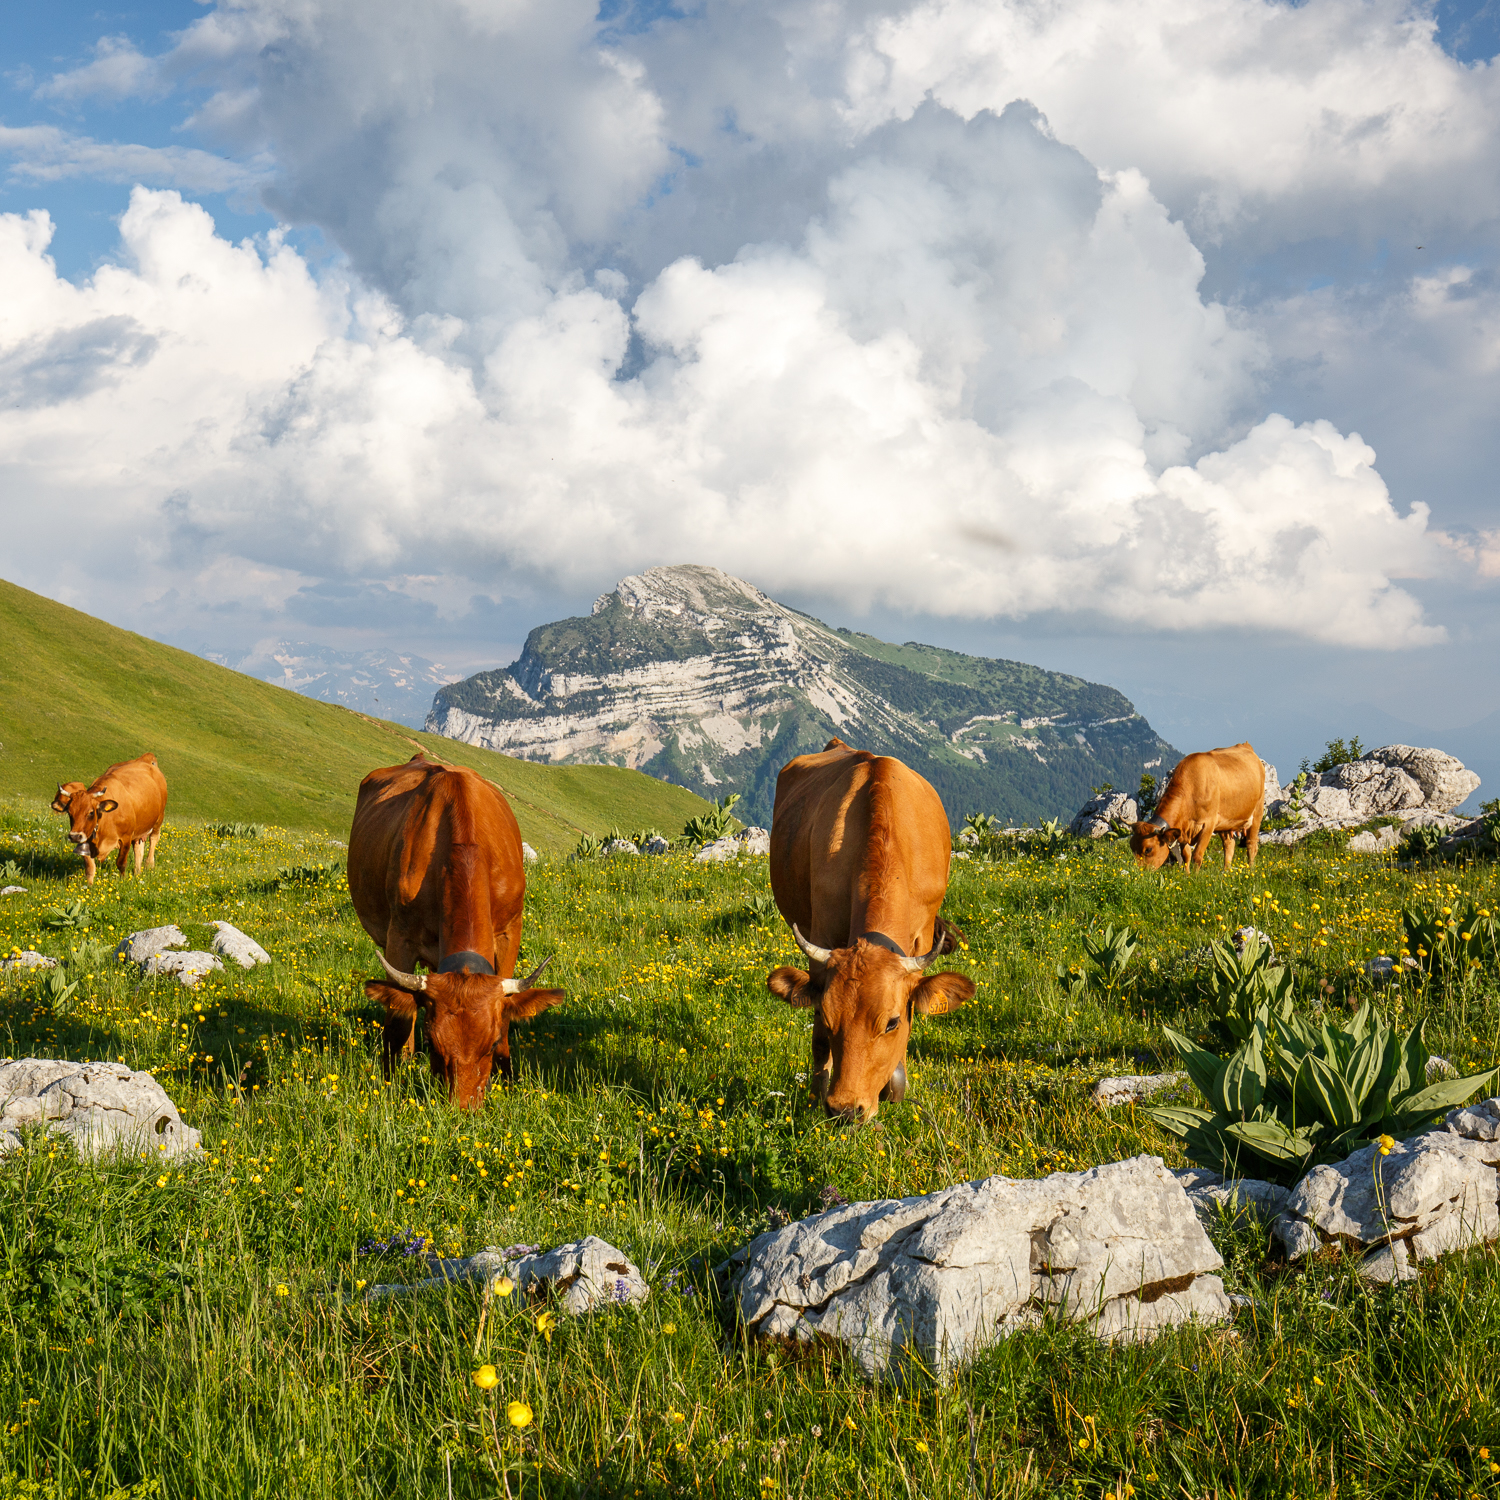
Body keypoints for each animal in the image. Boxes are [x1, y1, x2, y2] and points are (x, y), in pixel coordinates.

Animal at [348, 756, 564, 1110]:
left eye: (491, 1043)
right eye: (434, 1042)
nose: (463, 1109)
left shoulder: (510, 931)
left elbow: (507, 1011)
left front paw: (508, 1079)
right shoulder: (399, 938)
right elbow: (398, 1019)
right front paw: (390, 1084)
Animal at [762, 738, 972, 1128]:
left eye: (891, 1023)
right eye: (828, 1017)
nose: (845, 1109)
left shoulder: (922, 936)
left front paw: (895, 1085)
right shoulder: (821, 938)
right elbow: (818, 1040)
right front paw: (815, 1099)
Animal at [1128, 744, 1266, 876]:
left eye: (1148, 849)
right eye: (1131, 846)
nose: (1139, 873)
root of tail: (1245, 745)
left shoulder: (1208, 824)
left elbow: (1197, 855)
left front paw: (1195, 876)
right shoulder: (1183, 830)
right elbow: (1186, 855)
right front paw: (1187, 875)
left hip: (1257, 811)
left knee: (1251, 844)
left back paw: (1251, 871)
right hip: (1226, 822)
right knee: (1229, 845)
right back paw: (1226, 872)